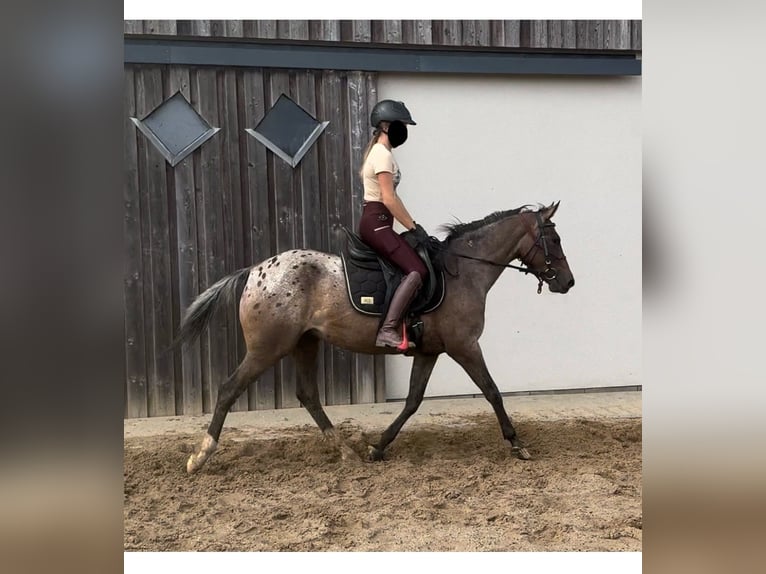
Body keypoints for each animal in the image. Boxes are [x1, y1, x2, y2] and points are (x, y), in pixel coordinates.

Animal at [182, 200, 576, 474]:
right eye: (554, 239)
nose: (568, 282)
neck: (464, 271)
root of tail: (254, 271)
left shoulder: (429, 351)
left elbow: (413, 401)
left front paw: (378, 447)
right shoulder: (464, 346)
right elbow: (492, 391)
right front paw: (517, 444)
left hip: (305, 343)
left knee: (308, 395)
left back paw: (346, 452)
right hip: (268, 348)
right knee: (229, 389)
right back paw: (200, 456)